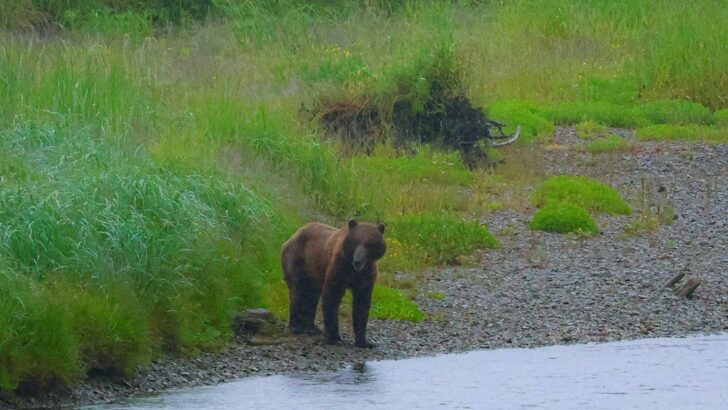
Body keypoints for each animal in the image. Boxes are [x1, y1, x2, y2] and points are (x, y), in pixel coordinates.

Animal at [281, 219, 386, 348]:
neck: (352, 269)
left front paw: (364, 341)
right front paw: (334, 337)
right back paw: (296, 327)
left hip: (314, 272)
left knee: (312, 297)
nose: (357, 261)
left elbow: (362, 304)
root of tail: (293, 236)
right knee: (297, 291)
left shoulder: (366, 274)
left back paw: (312, 328)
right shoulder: (339, 267)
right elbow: (332, 295)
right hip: (298, 260)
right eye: (355, 241)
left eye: (369, 244)